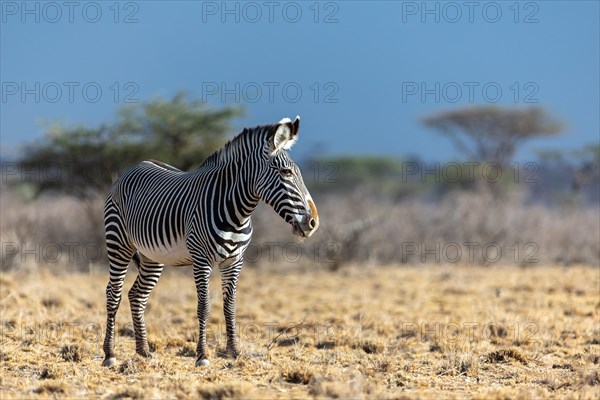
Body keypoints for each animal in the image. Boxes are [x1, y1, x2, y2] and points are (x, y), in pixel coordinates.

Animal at [102, 116, 318, 368]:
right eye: (286, 173)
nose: (313, 222)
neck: (237, 212)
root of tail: (134, 166)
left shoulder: (234, 261)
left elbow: (230, 307)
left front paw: (234, 352)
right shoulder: (201, 259)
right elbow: (204, 306)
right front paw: (203, 355)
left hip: (152, 256)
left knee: (137, 295)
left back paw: (144, 351)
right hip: (118, 242)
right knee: (113, 293)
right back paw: (110, 354)